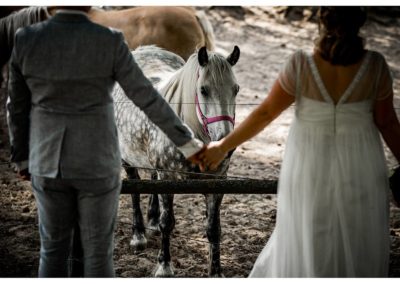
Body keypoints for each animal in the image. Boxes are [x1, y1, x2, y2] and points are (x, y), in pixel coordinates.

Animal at [112, 45, 239, 276]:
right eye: (203, 90)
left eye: (236, 89)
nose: (225, 142)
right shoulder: (168, 178)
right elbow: (167, 223)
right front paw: (164, 266)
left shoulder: (217, 184)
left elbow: (214, 229)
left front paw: (216, 271)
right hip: (127, 159)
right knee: (135, 190)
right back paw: (138, 235)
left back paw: (151, 221)